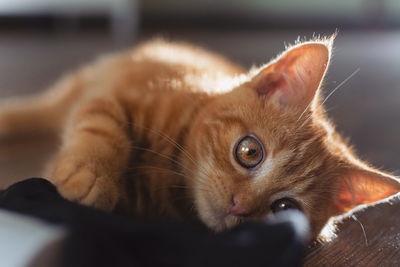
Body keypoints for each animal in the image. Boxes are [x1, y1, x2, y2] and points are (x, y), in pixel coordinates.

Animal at [0, 35, 400, 239]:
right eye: (249, 152)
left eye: (284, 208)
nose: (239, 206)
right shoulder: (115, 94)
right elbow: (102, 129)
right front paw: (91, 174)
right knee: (44, 107)